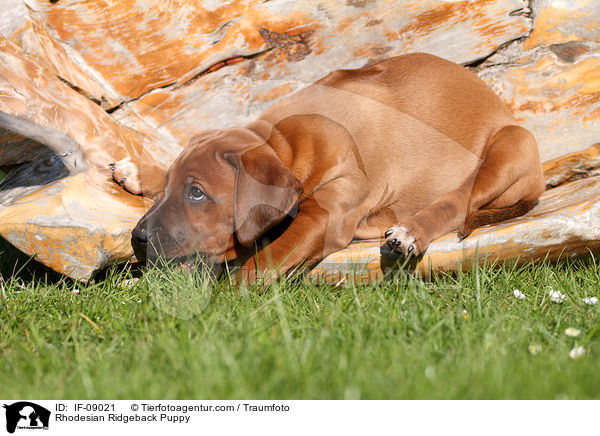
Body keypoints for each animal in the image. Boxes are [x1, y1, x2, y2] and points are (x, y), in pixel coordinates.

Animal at [113, 52, 548, 282]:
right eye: (173, 186)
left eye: (197, 193)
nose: (137, 239)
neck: (286, 143)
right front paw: (142, 170)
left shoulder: (326, 215)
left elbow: (265, 260)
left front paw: (227, 296)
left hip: (512, 145)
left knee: (458, 201)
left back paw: (409, 232)